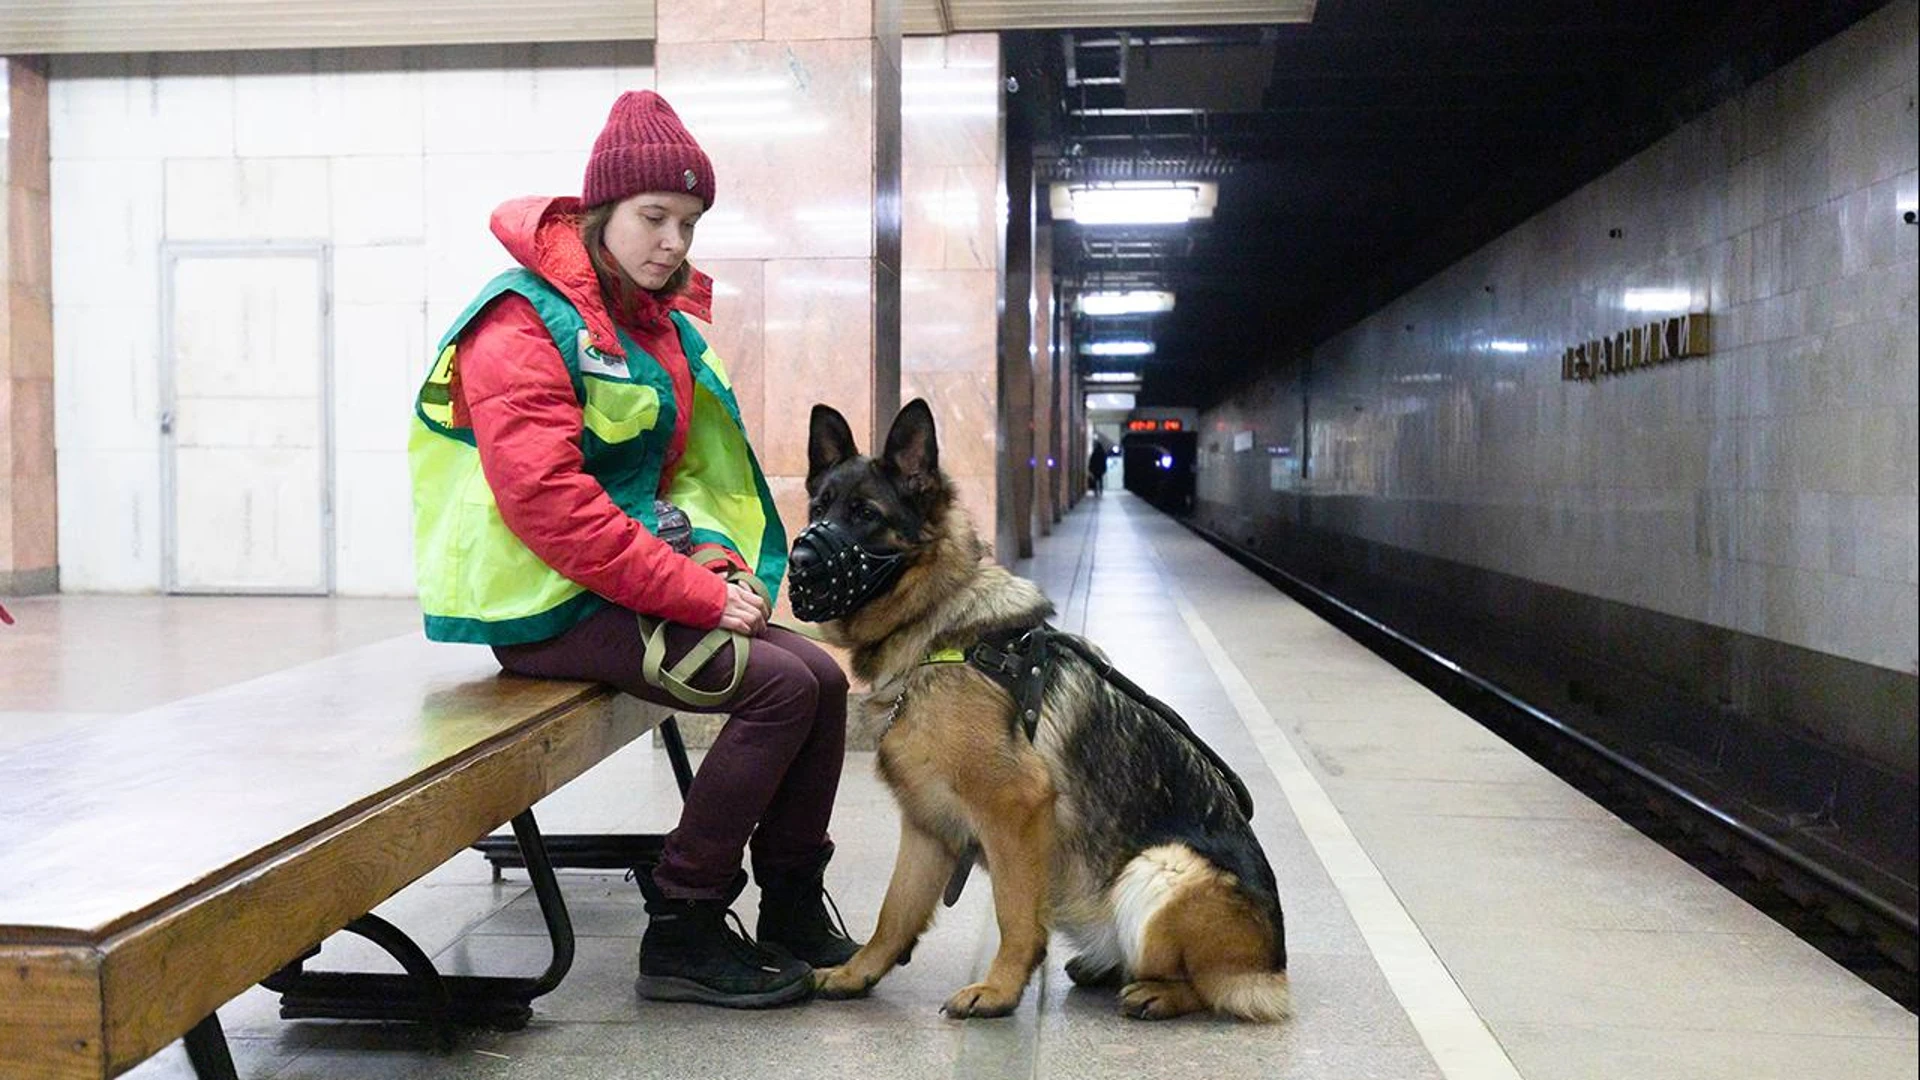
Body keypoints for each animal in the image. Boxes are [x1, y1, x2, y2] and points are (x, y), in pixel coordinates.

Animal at [794, 397, 1290, 1014]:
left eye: (865, 513)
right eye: (819, 507)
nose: (799, 557)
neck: (941, 632)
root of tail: (1271, 965)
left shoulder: (1016, 807)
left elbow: (1015, 916)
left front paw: (1001, 989)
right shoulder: (928, 826)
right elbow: (894, 913)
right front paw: (858, 973)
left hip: (1160, 868)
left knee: (1210, 986)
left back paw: (1158, 993)